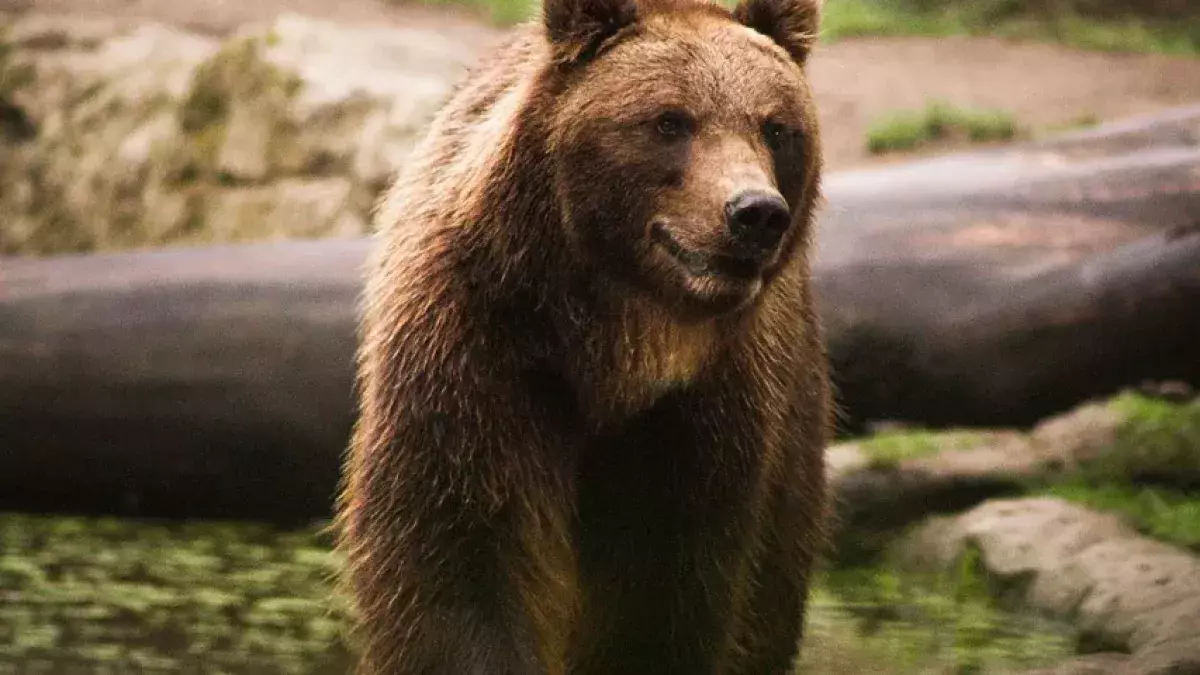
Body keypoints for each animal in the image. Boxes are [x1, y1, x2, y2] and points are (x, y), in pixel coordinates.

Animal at [335, 0, 832, 671]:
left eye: (776, 127)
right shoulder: (472, 349)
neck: (615, 343)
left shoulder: (709, 412)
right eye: (670, 120)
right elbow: (458, 560)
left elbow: (666, 590)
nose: (755, 213)